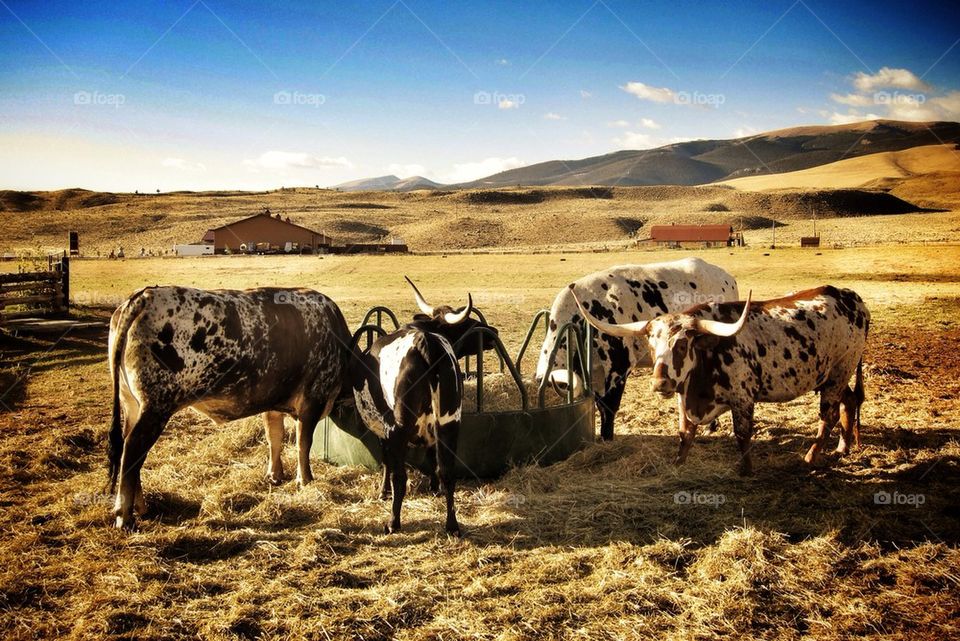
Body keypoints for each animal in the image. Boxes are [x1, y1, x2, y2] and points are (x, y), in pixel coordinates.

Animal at [107, 286, 351, 529]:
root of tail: (143, 296)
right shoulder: (313, 401)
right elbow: (303, 444)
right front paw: (306, 480)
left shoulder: (272, 403)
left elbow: (275, 437)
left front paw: (275, 474)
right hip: (155, 409)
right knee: (132, 451)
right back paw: (125, 516)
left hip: (132, 405)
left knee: (130, 453)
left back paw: (140, 507)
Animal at [348, 278, 488, 536]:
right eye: (465, 326)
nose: (491, 333)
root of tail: (426, 344)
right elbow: (432, 459)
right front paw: (434, 488)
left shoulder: (385, 429)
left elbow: (387, 462)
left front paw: (383, 492)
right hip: (450, 424)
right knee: (448, 472)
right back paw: (452, 525)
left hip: (400, 427)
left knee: (400, 476)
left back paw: (393, 522)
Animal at [571, 285, 869, 475]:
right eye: (652, 345)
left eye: (682, 345)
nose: (660, 384)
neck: (708, 353)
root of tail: (851, 297)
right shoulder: (685, 397)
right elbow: (685, 434)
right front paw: (678, 464)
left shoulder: (742, 399)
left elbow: (742, 434)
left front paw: (746, 470)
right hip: (831, 375)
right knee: (849, 401)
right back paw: (843, 447)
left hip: (839, 372)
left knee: (828, 415)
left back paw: (812, 455)